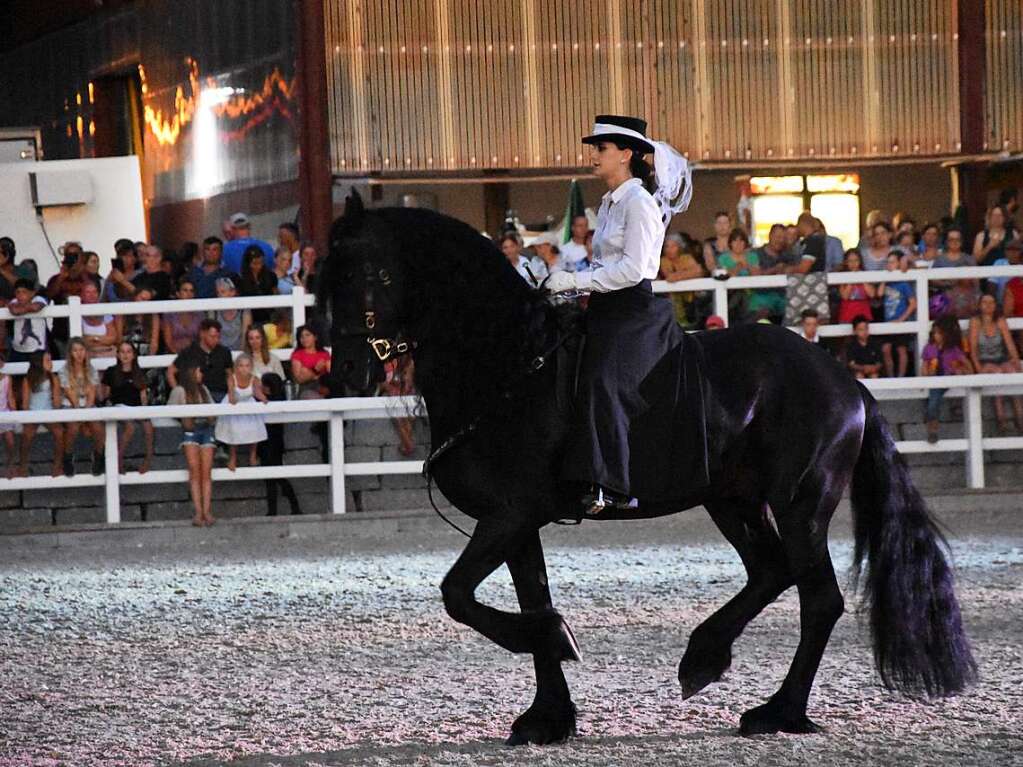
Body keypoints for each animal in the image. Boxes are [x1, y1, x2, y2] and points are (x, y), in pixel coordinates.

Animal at [317, 193, 973, 752]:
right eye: (328, 275)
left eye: (368, 273)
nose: (347, 371)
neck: (508, 367)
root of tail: (845, 382)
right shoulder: (517, 523)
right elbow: (526, 598)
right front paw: (549, 714)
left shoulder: (509, 516)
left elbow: (458, 595)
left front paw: (556, 641)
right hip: (733, 500)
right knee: (770, 571)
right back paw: (704, 658)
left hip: (801, 506)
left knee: (819, 600)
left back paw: (779, 711)